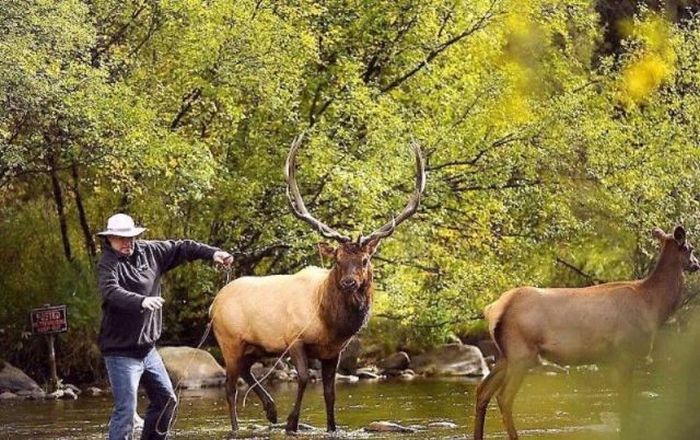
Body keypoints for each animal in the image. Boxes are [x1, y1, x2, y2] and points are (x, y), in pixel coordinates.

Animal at [474, 225, 696, 438]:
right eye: (690, 247)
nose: (697, 264)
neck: (653, 306)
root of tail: (493, 309)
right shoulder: (625, 352)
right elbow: (625, 405)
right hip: (521, 354)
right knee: (503, 397)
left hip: (505, 355)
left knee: (482, 390)